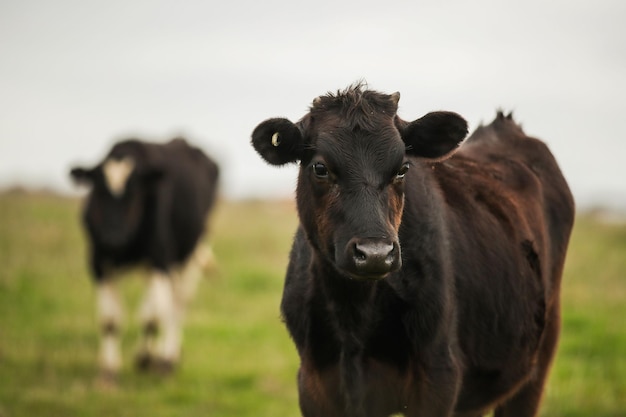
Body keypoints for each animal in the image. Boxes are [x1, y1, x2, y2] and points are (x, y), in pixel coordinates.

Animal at [70, 137, 219, 376]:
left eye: (134, 193)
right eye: (99, 192)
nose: (113, 237)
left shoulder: (160, 260)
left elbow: (151, 318)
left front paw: (148, 359)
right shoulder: (98, 263)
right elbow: (110, 320)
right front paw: (109, 369)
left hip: (189, 254)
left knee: (176, 303)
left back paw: (168, 357)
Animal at [251, 83, 572, 414]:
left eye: (403, 168)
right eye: (320, 167)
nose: (375, 254)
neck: (353, 315)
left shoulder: (439, 376)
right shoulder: (314, 382)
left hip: (538, 357)